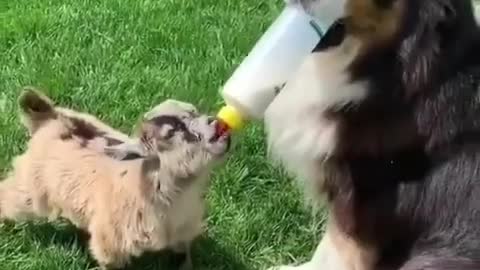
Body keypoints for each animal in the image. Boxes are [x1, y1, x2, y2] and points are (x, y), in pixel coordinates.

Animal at [1, 88, 231, 268]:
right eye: (172, 133)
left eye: (194, 111)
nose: (216, 122)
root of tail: (53, 119)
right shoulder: (110, 242)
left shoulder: (183, 231)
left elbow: (183, 256)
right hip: (31, 185)